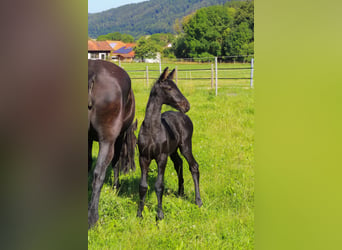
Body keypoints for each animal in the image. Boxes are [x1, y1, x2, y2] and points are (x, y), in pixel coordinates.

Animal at [87, 59, 136, 228]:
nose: (132, 169)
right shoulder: (118, 138)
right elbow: (116, 162)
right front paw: (116, 188)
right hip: (108, 141)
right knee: (99, 175)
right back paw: (93, 218)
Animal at [136, 67, 202, 220]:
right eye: (169, 88)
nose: (186, 105)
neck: (151, 130)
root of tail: (184, 117)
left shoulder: (161, 157)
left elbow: (159, 185)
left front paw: (160, 215)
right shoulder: (143, 158)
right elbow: (143, 186)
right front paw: (139, 214)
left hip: (185, 147)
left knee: (194, 166)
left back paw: (198, 201)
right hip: (173, 151)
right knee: (179, 163)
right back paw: (180, 192)